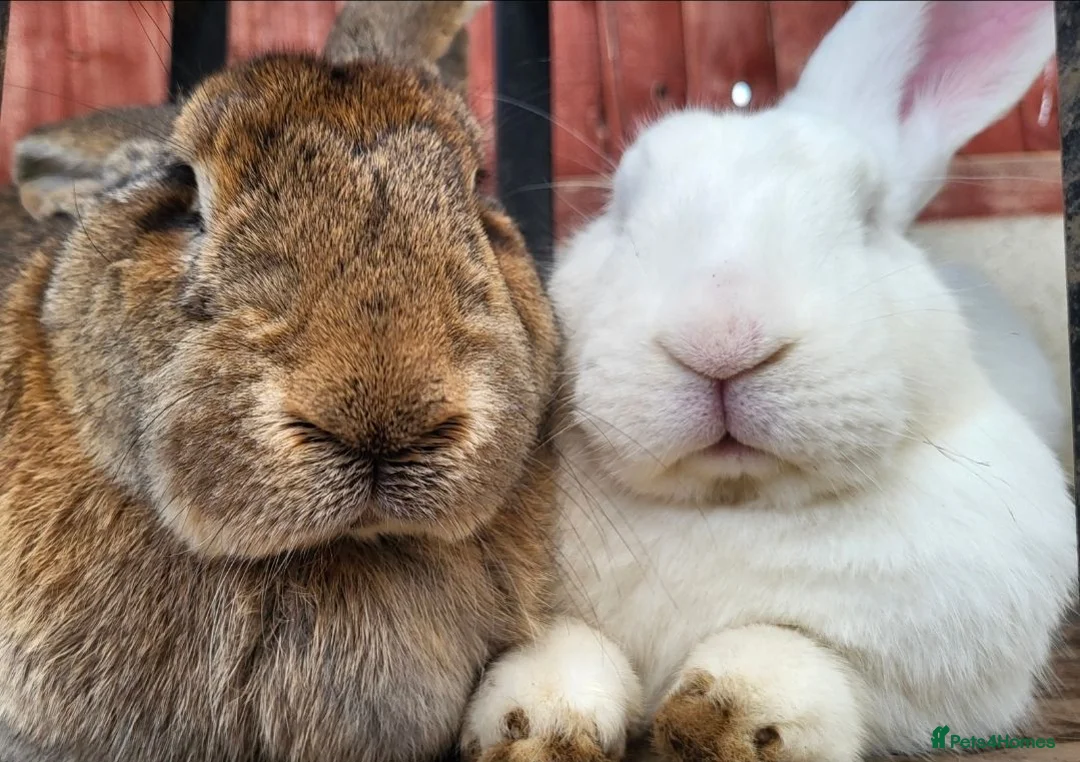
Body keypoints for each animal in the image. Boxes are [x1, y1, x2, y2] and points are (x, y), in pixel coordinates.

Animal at [461, 2, 1078, 761]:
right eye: (618, 209)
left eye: (868, 216)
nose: (722, 340)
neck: (727, 505)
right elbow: (563, 642)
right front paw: (533, 723)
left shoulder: (948, 674)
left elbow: (805, 653)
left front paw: (728, 717)